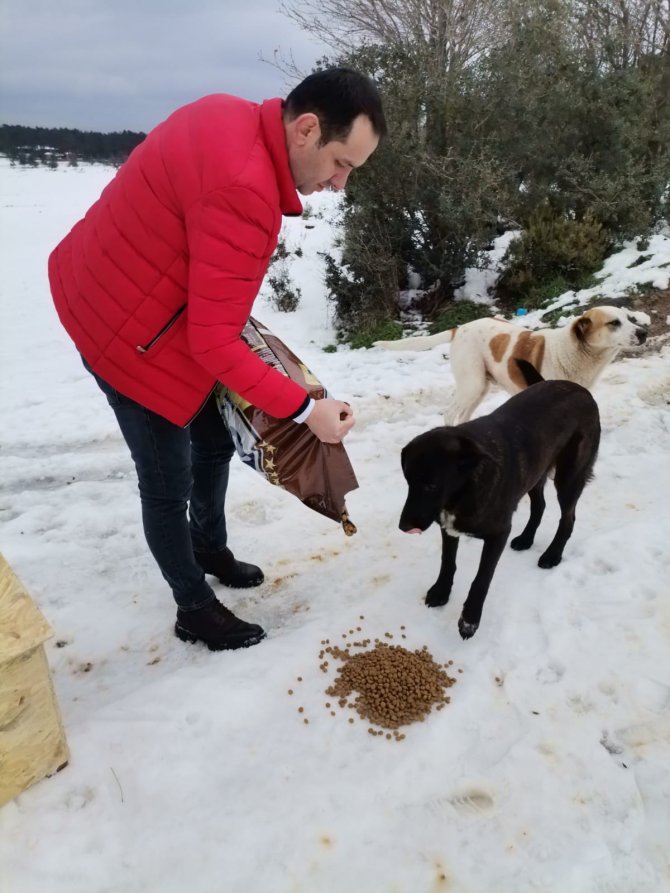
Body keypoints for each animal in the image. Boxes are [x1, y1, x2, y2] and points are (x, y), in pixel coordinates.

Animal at [376, 304, 648, 424]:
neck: (574, 351)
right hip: (472, 384)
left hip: (480, 387)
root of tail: (458, 328)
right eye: (614, 323)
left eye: (628, 318)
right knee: (450, 413)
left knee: (462, 416)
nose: (644, 332)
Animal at [402, 358, 600, 636]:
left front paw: (470, 618)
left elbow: (481, 578)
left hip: (569, 477)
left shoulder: (498, 534)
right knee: (540, 506)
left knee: (568, 518)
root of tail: (579, 388)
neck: (467, 487)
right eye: (408, 481)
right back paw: (526, 538)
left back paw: (552, 555)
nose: (403, 526)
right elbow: (447, 562)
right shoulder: (448, 527)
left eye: (431, 485)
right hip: (534, 473)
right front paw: (441, 591)